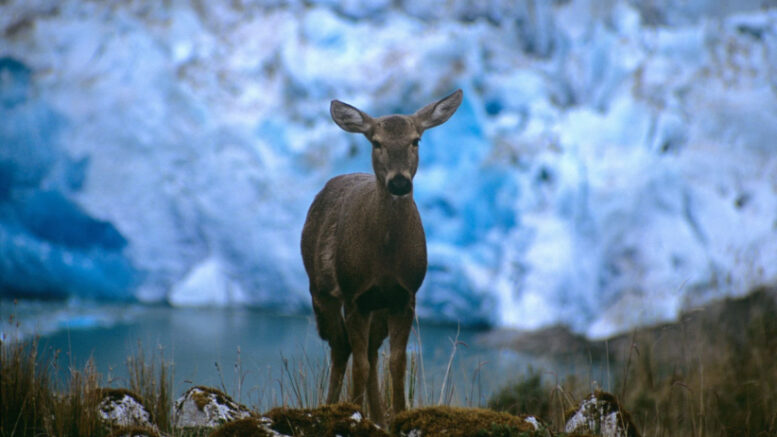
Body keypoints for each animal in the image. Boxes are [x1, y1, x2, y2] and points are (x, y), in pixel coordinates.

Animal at [300, 89, 460, 422]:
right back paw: (333, 405)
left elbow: (396, 363)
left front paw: (398, 415)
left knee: (371, 353)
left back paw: (378, 416)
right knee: (341, 348)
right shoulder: (354, 295)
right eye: (376, 142)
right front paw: (352, 412)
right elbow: (358, 363)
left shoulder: (405, 295)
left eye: (416, 140)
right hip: (321, 291)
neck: (385, 260)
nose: (399, 182)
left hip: (379, 308)